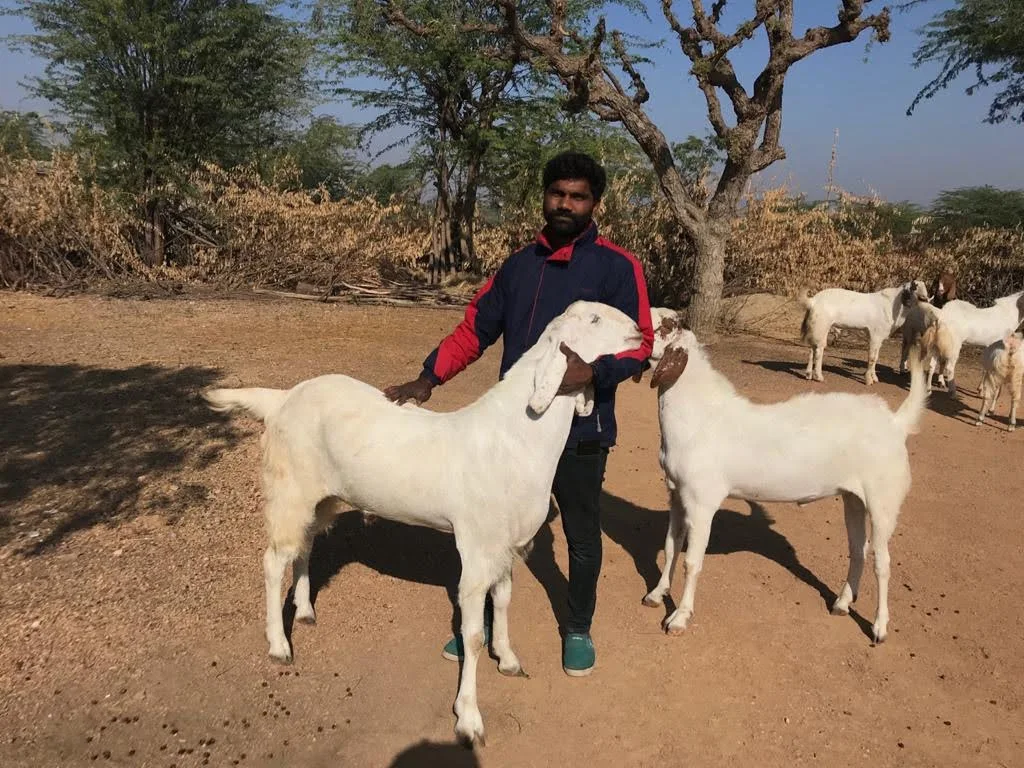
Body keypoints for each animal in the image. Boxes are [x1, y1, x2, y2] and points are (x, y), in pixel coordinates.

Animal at [201, 301, 643, 746]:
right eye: (594, 320)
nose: (640, 331)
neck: (514, 438)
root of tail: (283, 398)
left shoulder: (506, 545)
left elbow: (502, 601)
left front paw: (508, 659)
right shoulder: (477, 547)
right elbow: (473, 635)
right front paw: (469, 718)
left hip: (320, 495)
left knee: (306, 544)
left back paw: (306, 610)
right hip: (289, 487)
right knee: (274, 560)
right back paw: (278, 645)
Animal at [642, 307, 928, 644]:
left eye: (661, 327)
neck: (701, 416)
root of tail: (895, 423)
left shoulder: (701, 502)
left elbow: (691, 561)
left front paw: (679, 617)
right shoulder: (676, 494)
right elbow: (671, 546)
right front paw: (656, 594)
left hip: (883, 500)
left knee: (882, 562)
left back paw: (880, 627)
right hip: (853, 499)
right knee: (859, 549)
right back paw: (842, 603)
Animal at [797, 280, 929, 385]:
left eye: (924, 287)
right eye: (914, 287)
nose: (925, 298)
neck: (892, 304)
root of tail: (812, 301)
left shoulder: (879, 337)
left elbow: (876, 357)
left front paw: (874, 378)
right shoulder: (875, 335)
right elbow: (872, 357)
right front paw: (868, 380)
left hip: (817, 327)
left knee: (812, 349)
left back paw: (808, 374)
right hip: (822, 325)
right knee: (819, 350)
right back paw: (819, 376)